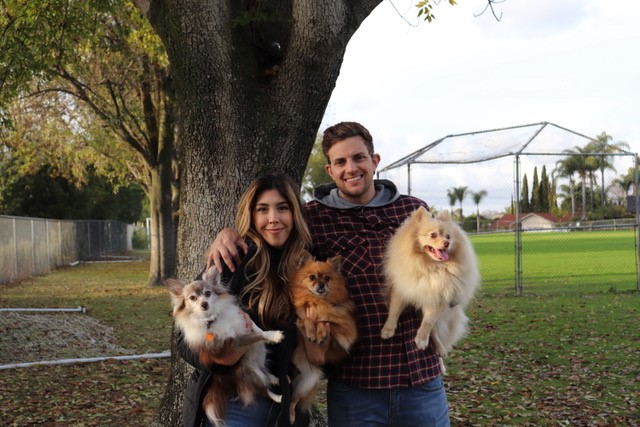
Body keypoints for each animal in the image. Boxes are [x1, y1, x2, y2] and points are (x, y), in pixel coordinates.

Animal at [166, 266, 284, 426]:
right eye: (192, 298)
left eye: (208, 293)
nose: (204, 304)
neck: (213, 319)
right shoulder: (234, 343)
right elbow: (254, 336)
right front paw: (274, 336)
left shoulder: (242, 318)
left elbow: (256, 327)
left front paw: (267, 335)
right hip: (253, 374)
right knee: (263, 389)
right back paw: (279, 397)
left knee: (265, 374)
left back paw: (274, 378)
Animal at [288, 252, 358, 422]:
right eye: (312, 277)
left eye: (327, 278)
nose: (321, 284)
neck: (318, 300)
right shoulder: (299, 316)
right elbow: (307, 319)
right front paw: (311, 332)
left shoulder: (347, 331)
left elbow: (324, 319)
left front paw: (321, 333)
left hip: (308, 382)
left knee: (293, 400)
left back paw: (291, 416)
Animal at [380, 208, 480, 368]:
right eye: (433, 235)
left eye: (448, 236)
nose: (447, 243)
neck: (430, 266)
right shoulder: (401, 290)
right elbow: (394, 311)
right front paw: (387, 330)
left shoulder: (437, 299)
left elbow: (427, 322)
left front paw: (421, 339)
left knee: (435, 331)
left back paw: (440, 350)